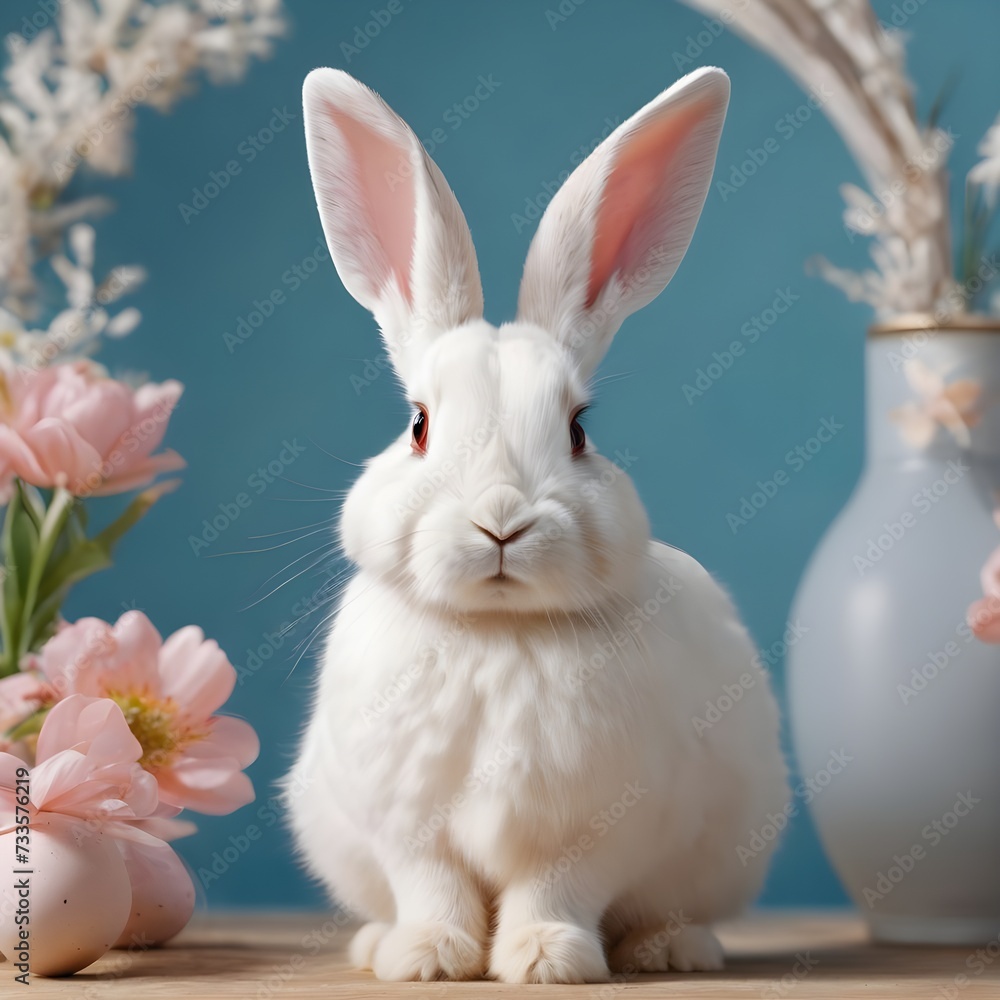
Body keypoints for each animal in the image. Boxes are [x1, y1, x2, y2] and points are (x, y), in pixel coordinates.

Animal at [285, 64, 789, 985]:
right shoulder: (407, 826)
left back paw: (670, 950)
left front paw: (548, 960)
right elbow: (431, 885)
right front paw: (428, 958)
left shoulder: (595, 829)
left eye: (579, 430)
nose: (501, 521)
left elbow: (556, 889)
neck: (499, 632)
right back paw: (375, 945)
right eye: (418, 426)